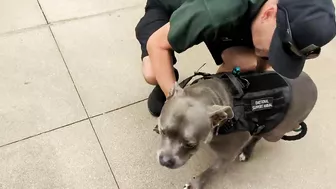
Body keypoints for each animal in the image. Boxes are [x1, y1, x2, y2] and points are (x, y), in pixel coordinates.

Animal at [155, 71, 318, 189]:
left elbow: (212, 170)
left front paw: (196, 184)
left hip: (275, 132)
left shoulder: (228, 154)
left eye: (190, 144)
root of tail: (313, 85)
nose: (165, 161)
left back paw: (248, 150)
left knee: (260, 134)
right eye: (163, 131)